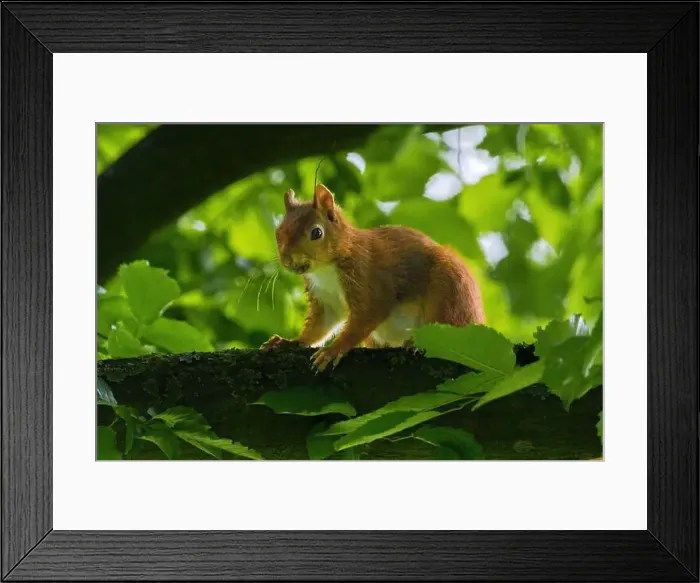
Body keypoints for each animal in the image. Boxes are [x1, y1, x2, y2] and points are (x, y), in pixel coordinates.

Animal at [261, 183, 485, 372]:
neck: (325, 270)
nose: (287, 260)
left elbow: (366, 316)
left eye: (316, 233)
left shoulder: (368, 277)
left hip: (449, 292)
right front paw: (290, 342)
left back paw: (415, 343)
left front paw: (333, 350)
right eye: (278, 232)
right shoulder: (324, 298)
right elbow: (320, 326)